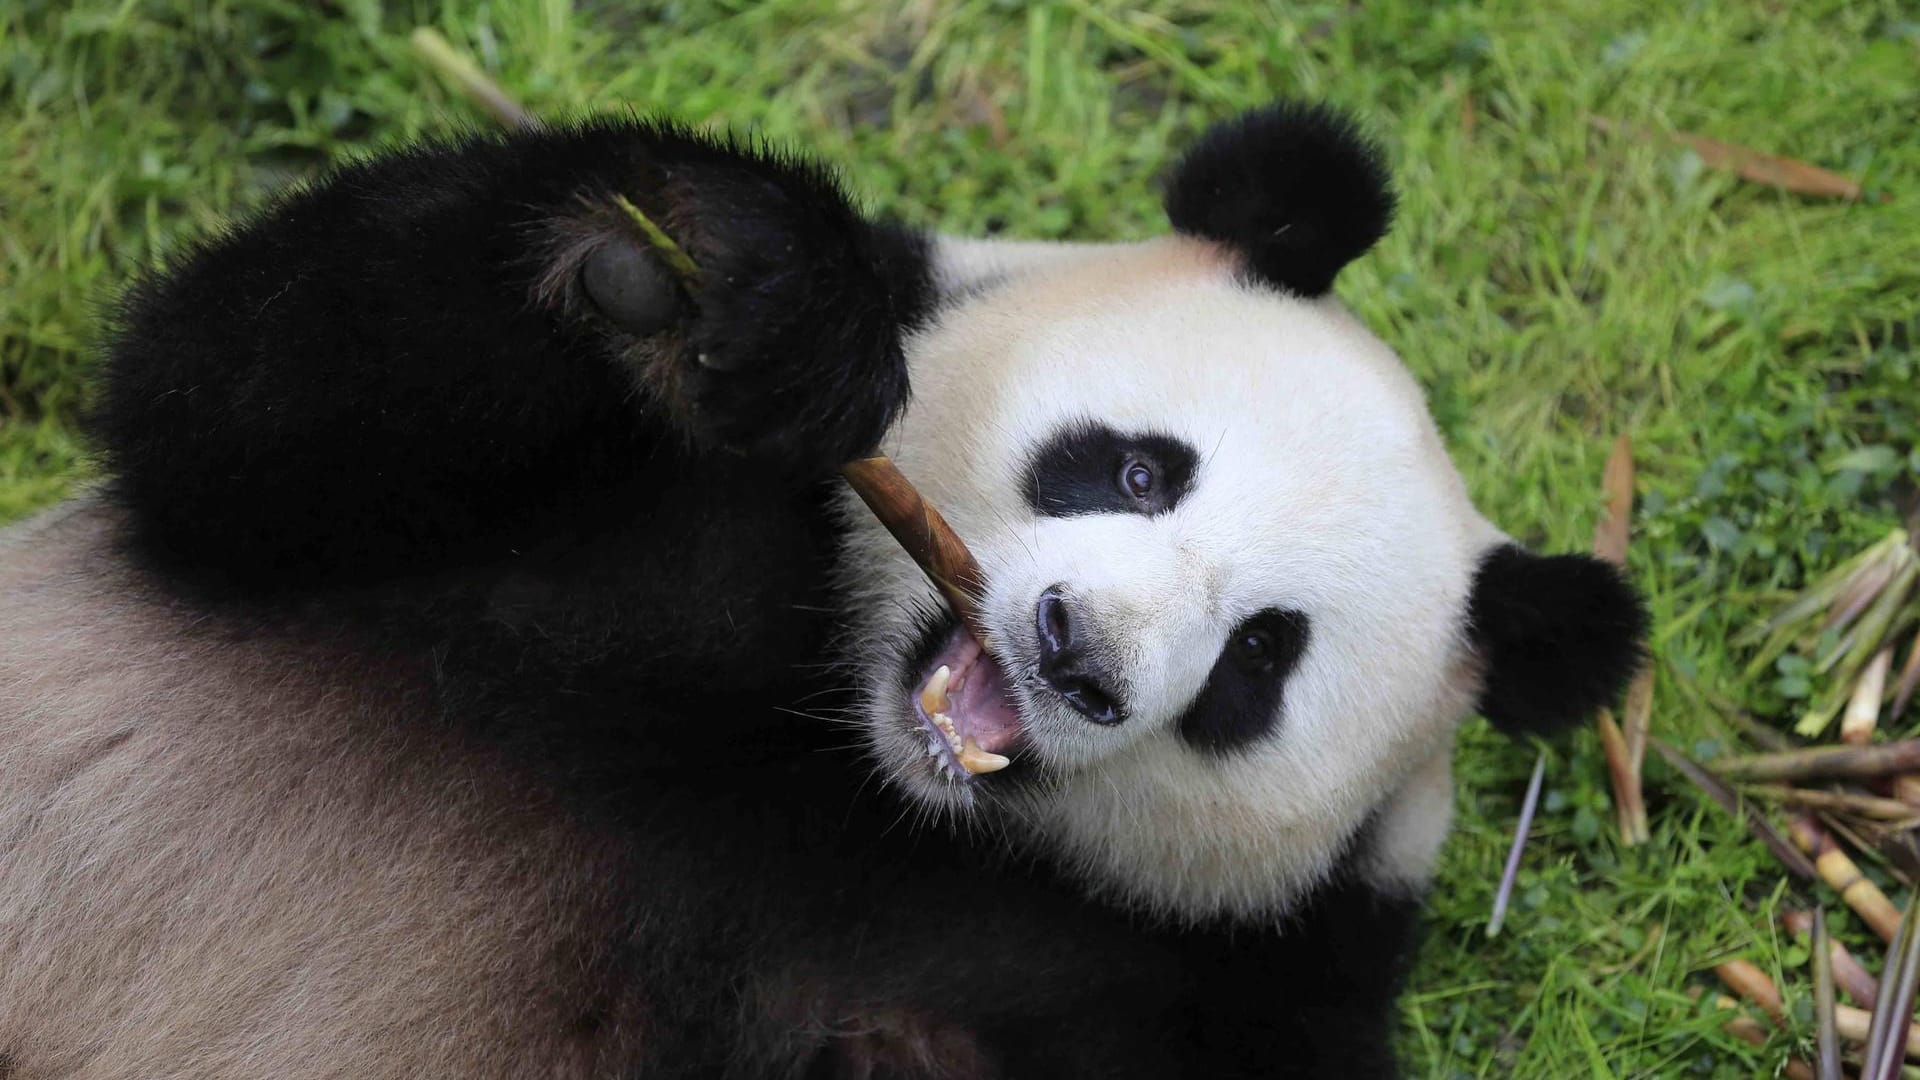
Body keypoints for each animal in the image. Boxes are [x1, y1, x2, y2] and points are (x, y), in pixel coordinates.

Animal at [0, 100, 1635, 1076]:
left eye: (1257, 665)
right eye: (1135, 472)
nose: (1077, 657)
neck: (850, 769)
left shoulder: (1224, 984)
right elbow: (226, 411)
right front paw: (722, 282)